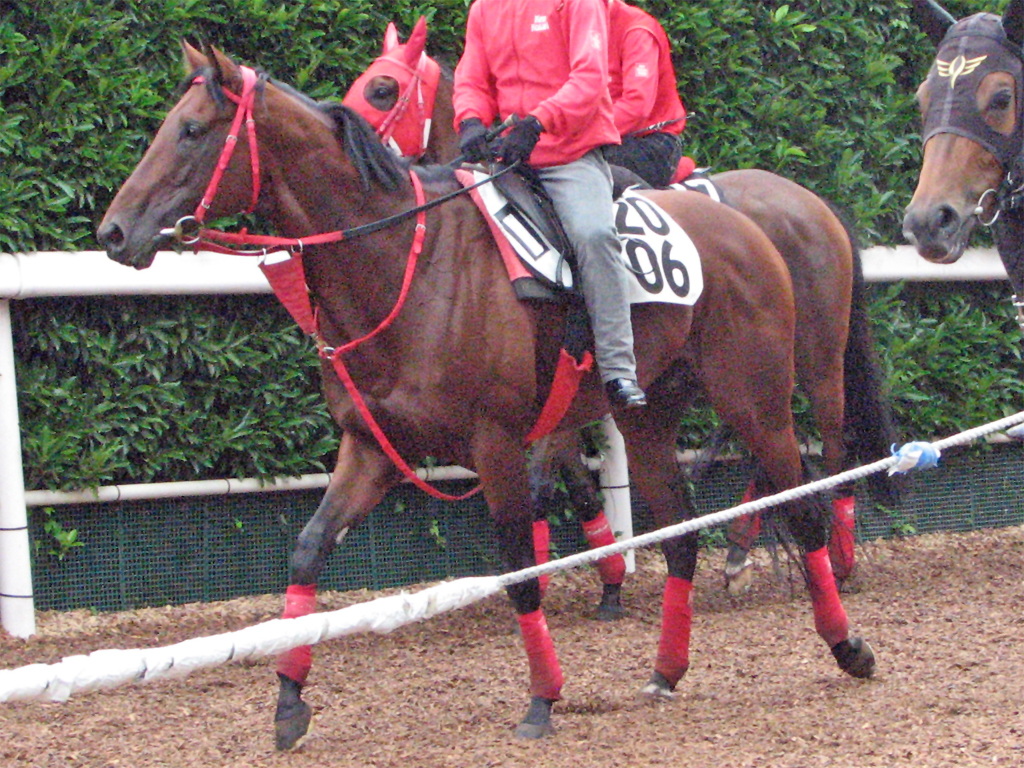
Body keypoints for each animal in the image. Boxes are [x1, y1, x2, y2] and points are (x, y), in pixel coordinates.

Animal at [348, 19, 901, 602]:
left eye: (381, 88)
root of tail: (816, 204)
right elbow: (567, 471)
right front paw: (599, 572)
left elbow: (544, 476)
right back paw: (738, 552)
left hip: (818, 359)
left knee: (832, 442)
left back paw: (836, 555)